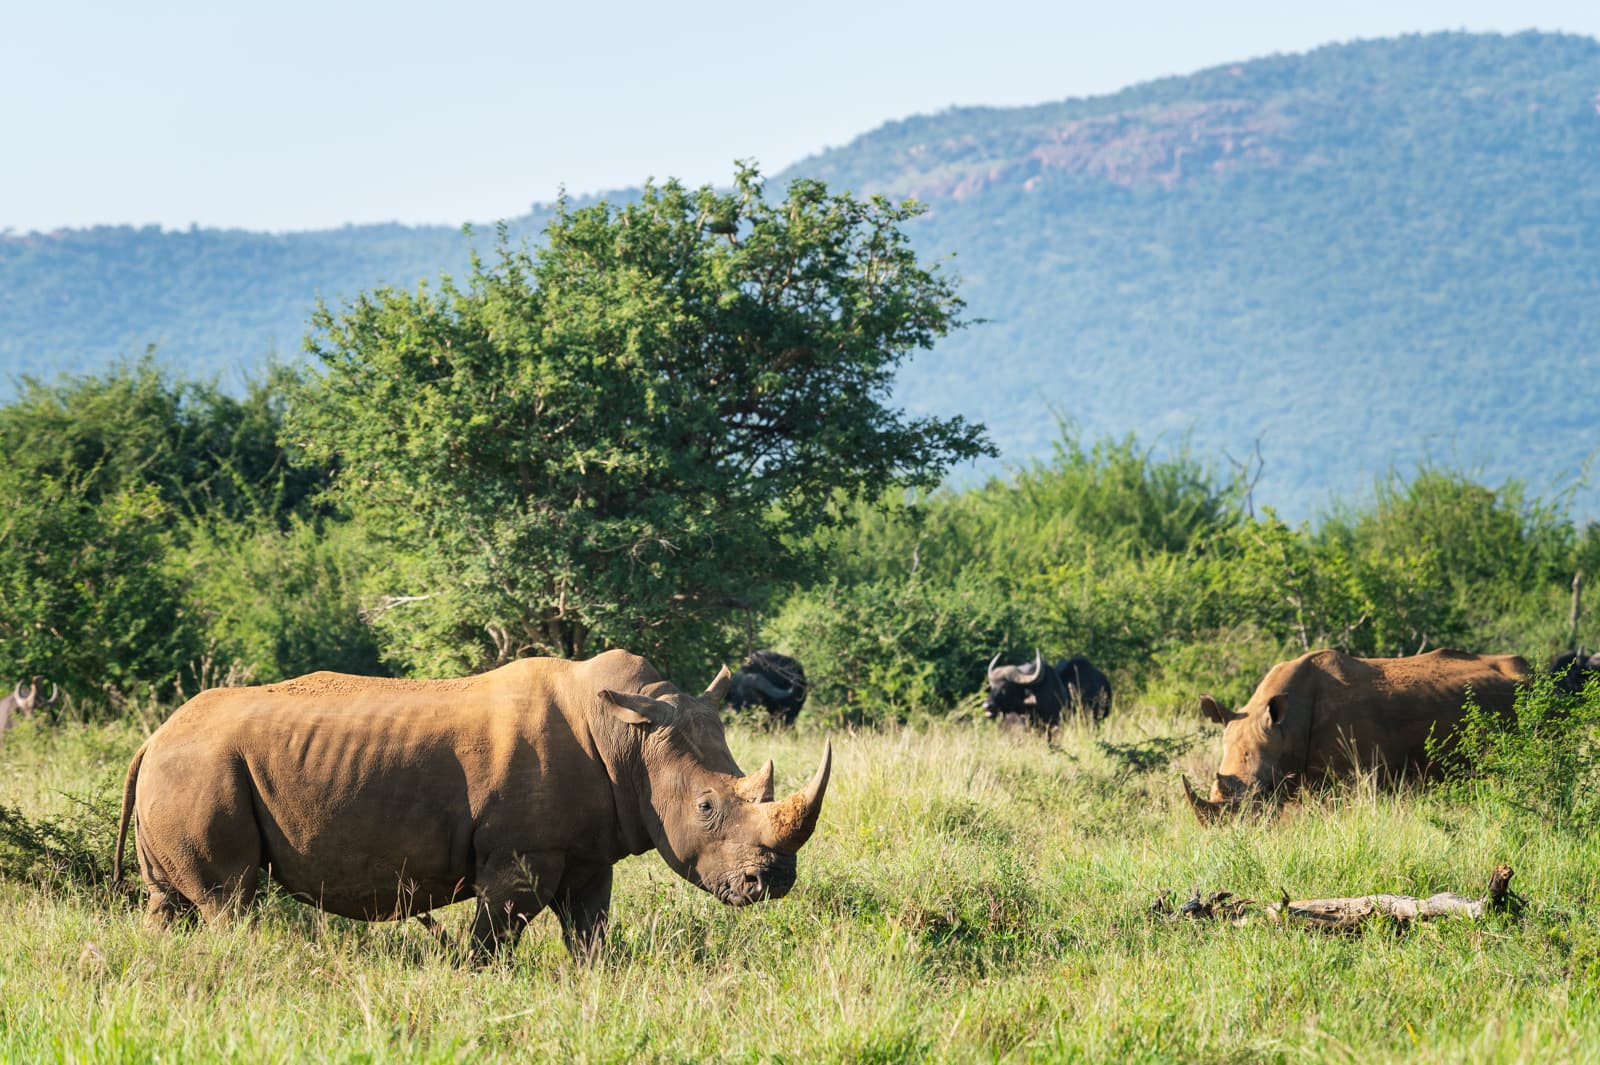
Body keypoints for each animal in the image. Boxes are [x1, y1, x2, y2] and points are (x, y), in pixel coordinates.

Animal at [113, 650, 832, 962]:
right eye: (707, 806)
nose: (771, 882)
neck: (628, 736)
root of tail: (152, 739)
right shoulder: (522, 852)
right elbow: (497, 932)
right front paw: (475, 979)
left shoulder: (588, 849)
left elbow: (589, 929)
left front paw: (596, 981)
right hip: (200, 769)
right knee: (230, 899)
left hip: (186, 771)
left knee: (170, 902)